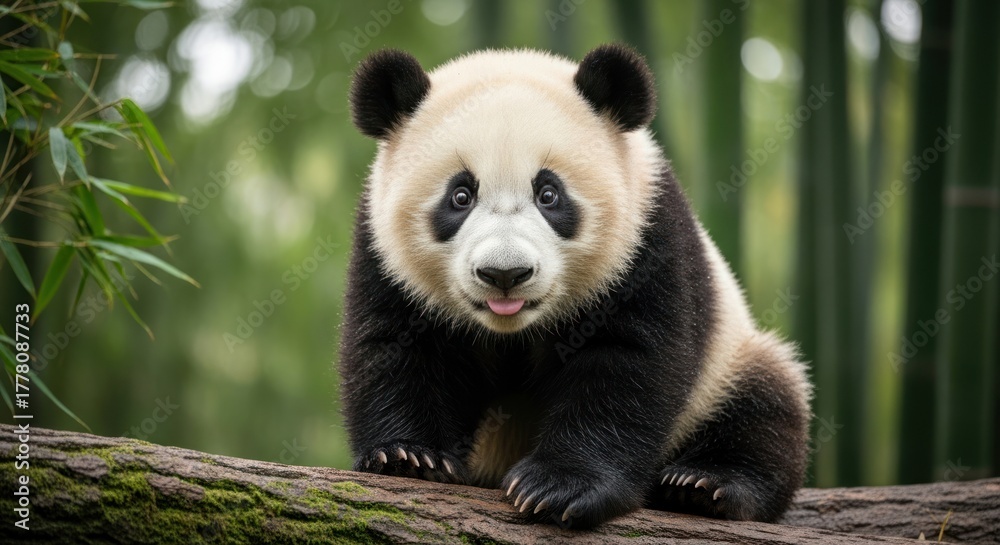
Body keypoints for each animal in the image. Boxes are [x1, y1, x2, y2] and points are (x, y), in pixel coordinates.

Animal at [339, 44, 812, 528]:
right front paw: (409, 457)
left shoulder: (646, 240)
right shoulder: (383, 257)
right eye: (460, 196)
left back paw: (704, 485)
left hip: (729, 359)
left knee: (765, 405)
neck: (513, 330)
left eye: (549, 194)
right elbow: (398, 347)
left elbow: (627, 362)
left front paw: (558, 487)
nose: (505, 274)